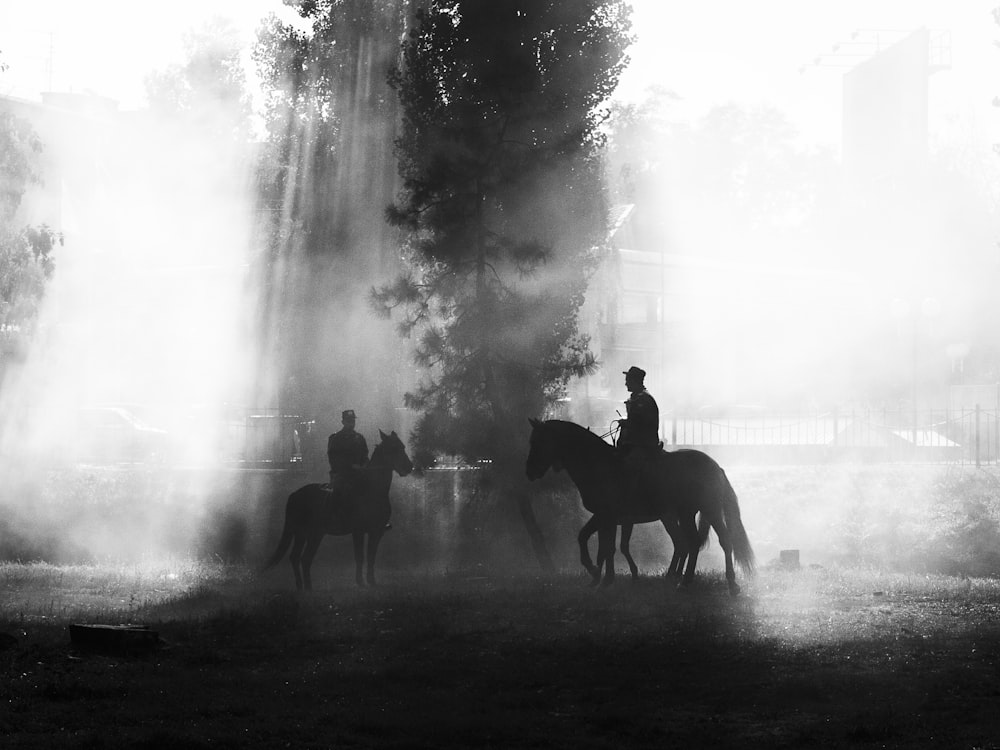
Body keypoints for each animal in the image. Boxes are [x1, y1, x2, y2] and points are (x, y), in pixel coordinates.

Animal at [264, 432, 412, 592]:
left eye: (403, 446)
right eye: (394, 448)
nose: (409, 467)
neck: (372, 490)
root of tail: (295, 494)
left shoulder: (376, 532)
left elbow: (371, 556)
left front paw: (371, 581)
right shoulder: (358, 531)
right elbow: (360, 556)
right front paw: (360, 582)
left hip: (305, 534)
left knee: (297, 557)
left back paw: (302, 587)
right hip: (312, 534)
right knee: (304, 558)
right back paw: (308, 588)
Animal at [528, 420, 752, 596]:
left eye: (537, 442)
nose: (529, 471)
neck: (598, 464)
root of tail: (715, 467)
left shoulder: (609, 517)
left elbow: (608, 547)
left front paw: (604, 579)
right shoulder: (603, 517)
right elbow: (589, 540)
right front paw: (595, 575)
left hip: (703, 511)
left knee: (708, 542)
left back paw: (705, 583)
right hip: (690, 513)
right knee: (699, 543)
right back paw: (699, 582)